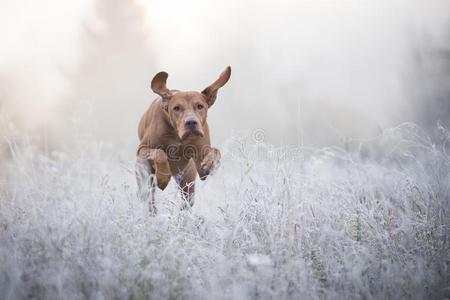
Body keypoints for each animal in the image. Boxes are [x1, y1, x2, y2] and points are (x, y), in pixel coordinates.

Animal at [135, 65, 230, 213]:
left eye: (200, 106)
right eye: (177, 108)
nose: (191, 122)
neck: (176, 135)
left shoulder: (200, 160)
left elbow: (215, 151)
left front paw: (210, 163)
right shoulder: (142, 149)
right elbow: (159, 153)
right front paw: (163, 177)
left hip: (187, 181)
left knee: (186, 202)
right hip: (145, 178)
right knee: (148, 198)